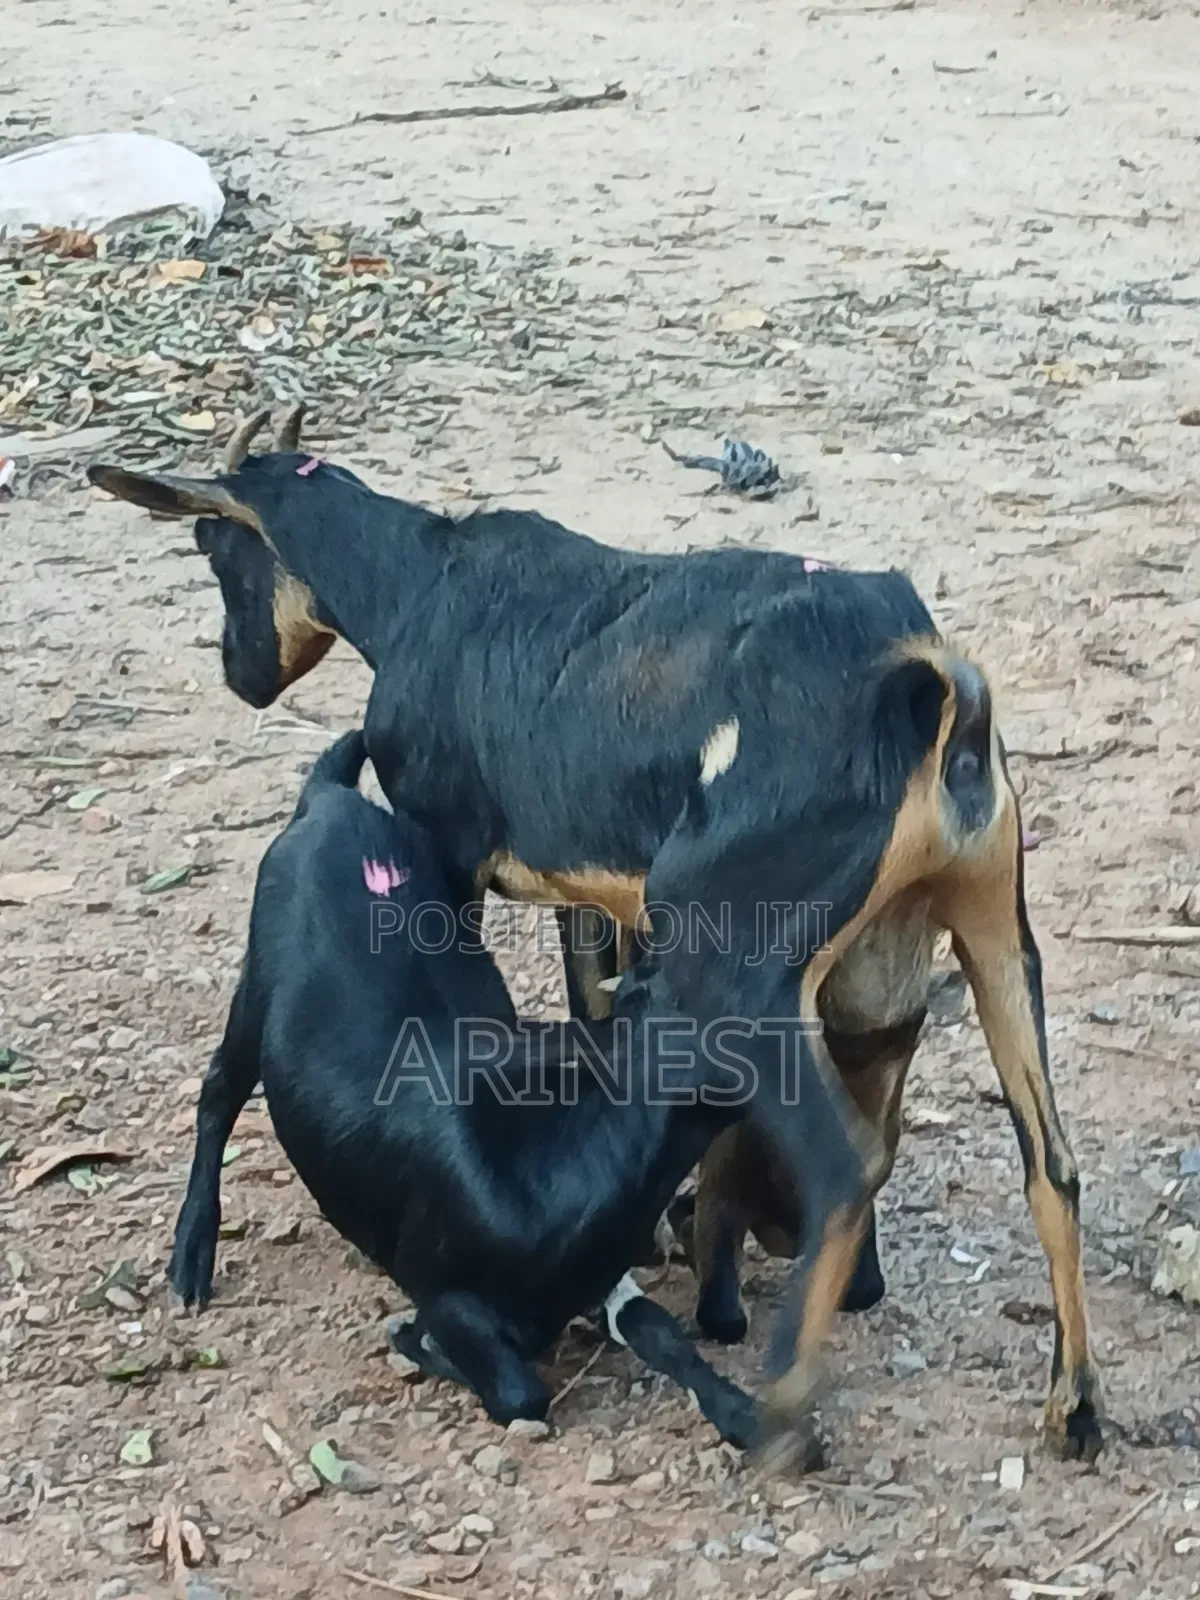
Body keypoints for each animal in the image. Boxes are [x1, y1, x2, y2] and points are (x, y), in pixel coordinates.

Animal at [170, 728, 764, 1448]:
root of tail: (332, 800)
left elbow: (658, 1330)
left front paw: (749, 1415)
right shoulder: (447, 1291)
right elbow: (519, 1389)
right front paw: (412, 1339)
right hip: (255, 988)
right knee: (218, 1092)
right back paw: (190, 1258)